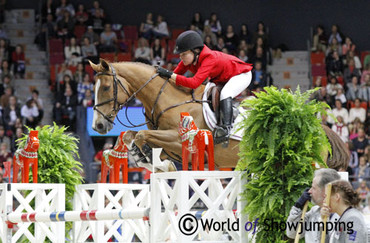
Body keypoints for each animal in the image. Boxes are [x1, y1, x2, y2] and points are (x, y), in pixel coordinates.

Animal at [88, 59, 348, 171]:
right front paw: (144, 159)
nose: (98, 126)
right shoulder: (168, 143)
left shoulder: (181, 139)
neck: (167, 99)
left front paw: (151, 161)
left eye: (105, 87)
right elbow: (132, 136)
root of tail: (319, 127)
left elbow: (142, 135)